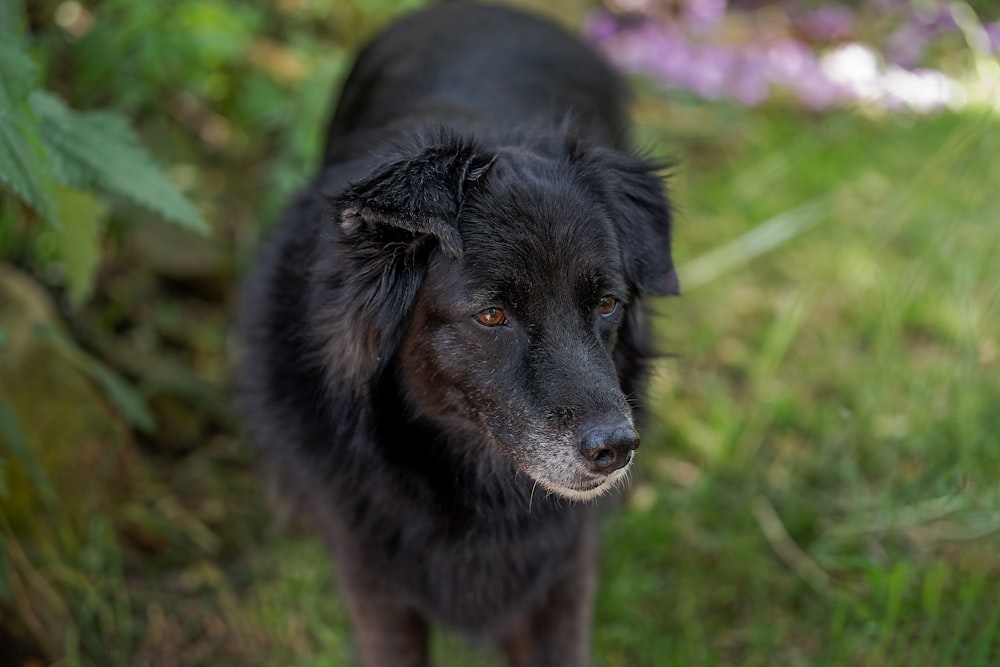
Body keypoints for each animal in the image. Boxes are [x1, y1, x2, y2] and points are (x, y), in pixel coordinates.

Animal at [239, 2, 680, 664]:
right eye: (492, 316)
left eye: (606, 304)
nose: (616, 450)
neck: (472, 480)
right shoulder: (374, 576)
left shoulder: (561, 576)